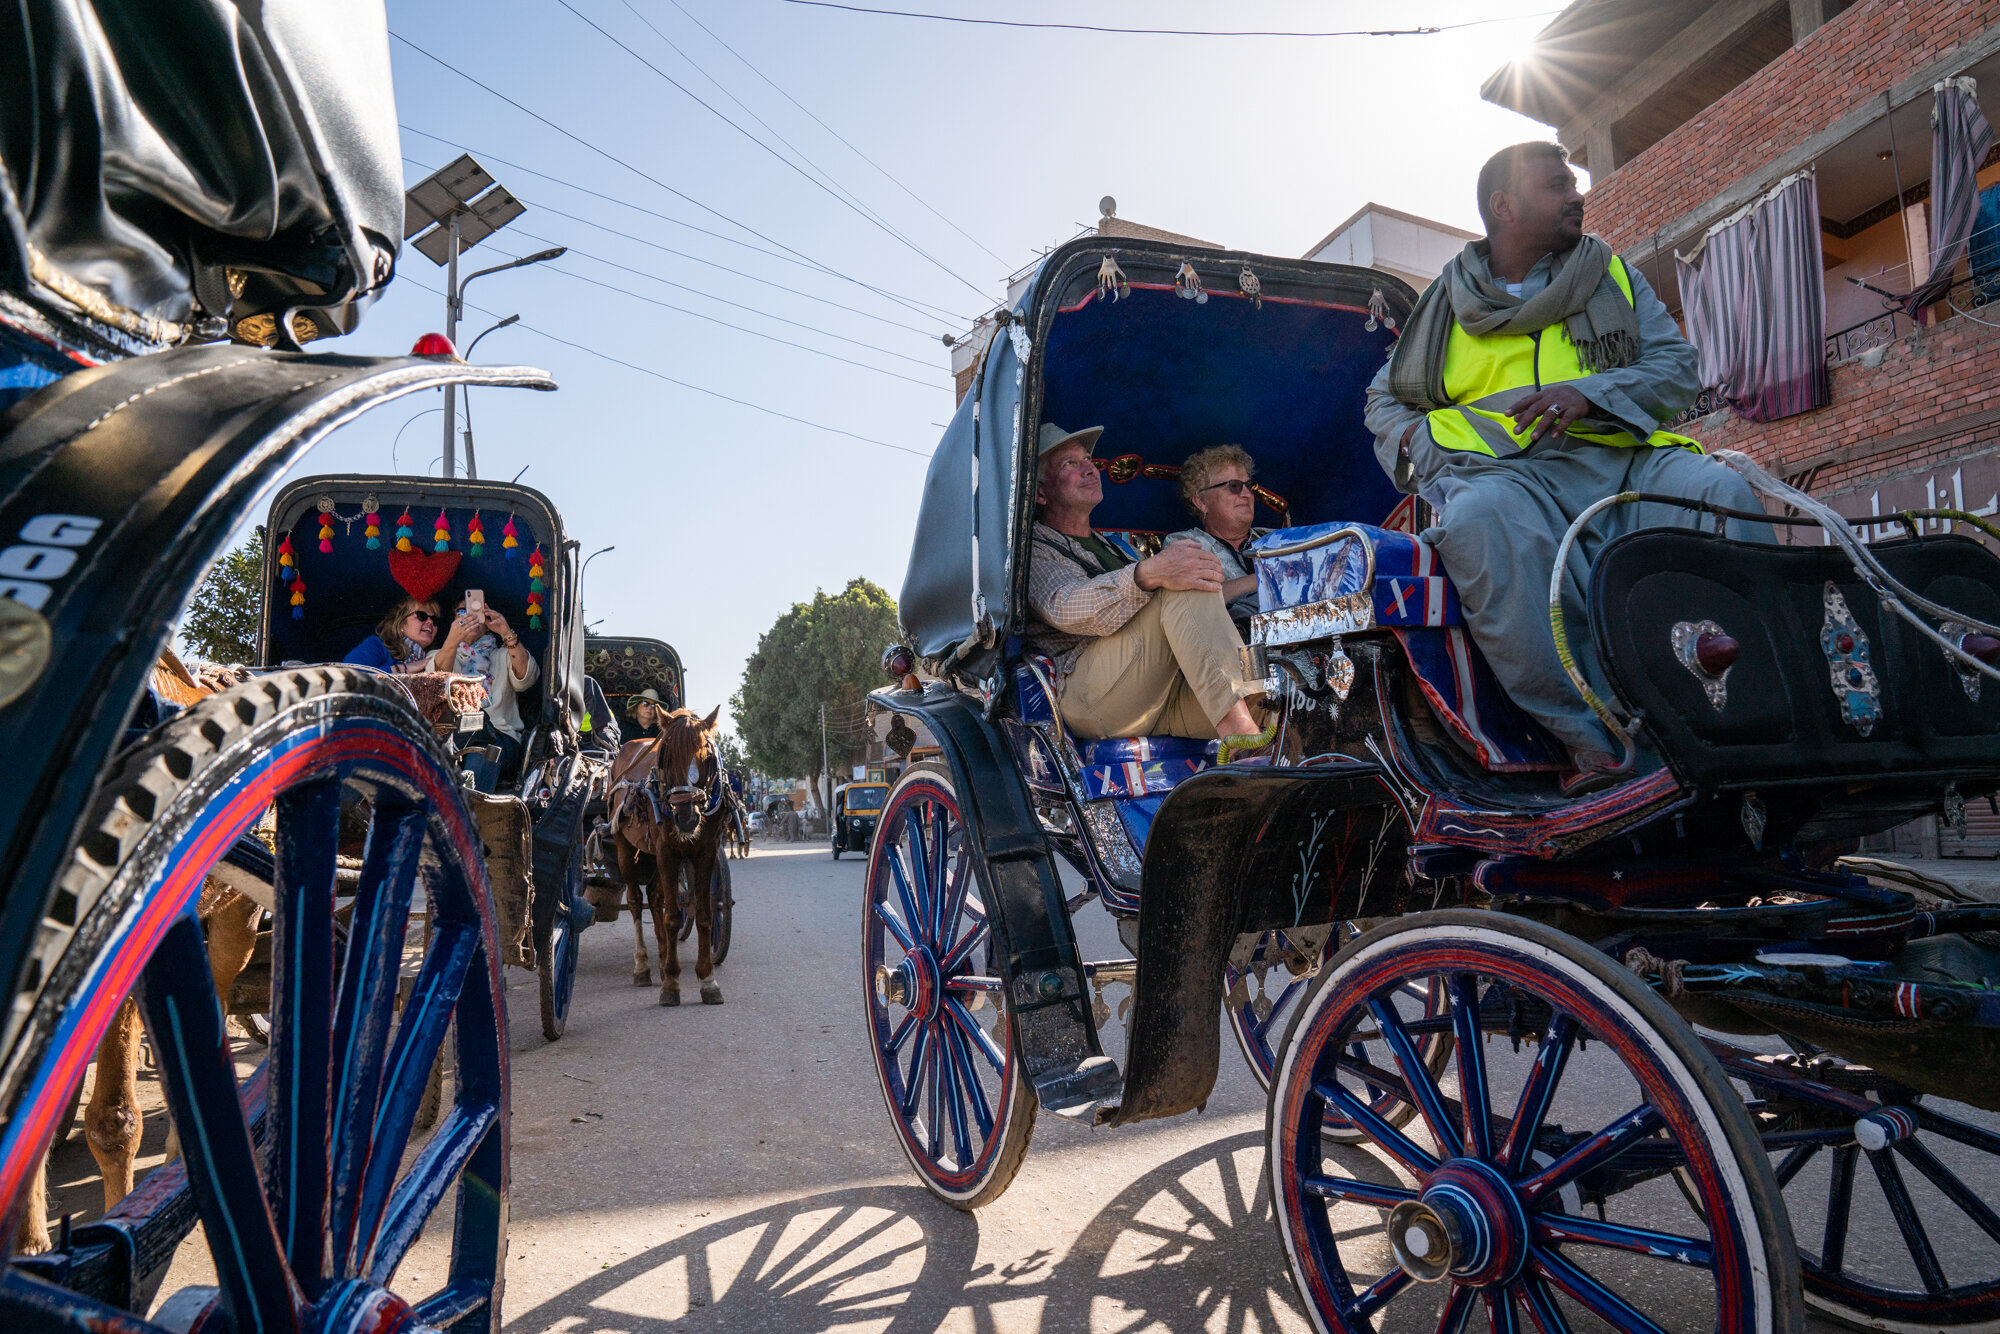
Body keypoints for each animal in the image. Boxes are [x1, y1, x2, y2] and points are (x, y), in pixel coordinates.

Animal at [612, 708, 740, 1000]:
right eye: (666, 755)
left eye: (706, 755)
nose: (686, 816)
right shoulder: (666, 851)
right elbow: (671, 916)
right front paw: (671, 983)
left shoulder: (705, 851)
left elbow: (704, 913)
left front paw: (708, 980)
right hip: (625, 847)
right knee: (636, 901)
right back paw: (643, 967)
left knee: (655, 897)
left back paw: (661, 959)